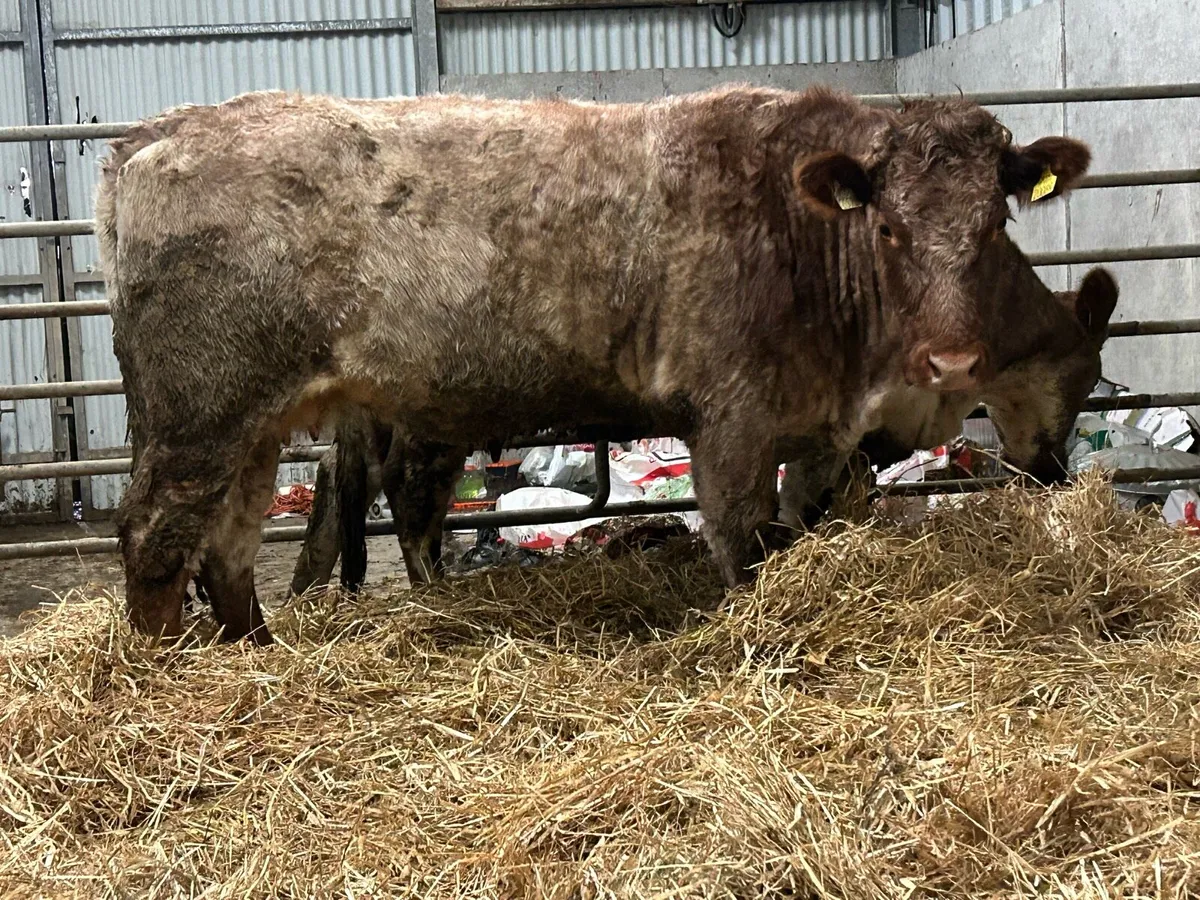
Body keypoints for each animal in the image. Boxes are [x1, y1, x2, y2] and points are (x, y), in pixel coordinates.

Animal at [288, 260, 1118, 596]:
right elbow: (802, 499)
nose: (1053, 470)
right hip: (425, 417)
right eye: (1083, 372)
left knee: (343, 482)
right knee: (405, 498)